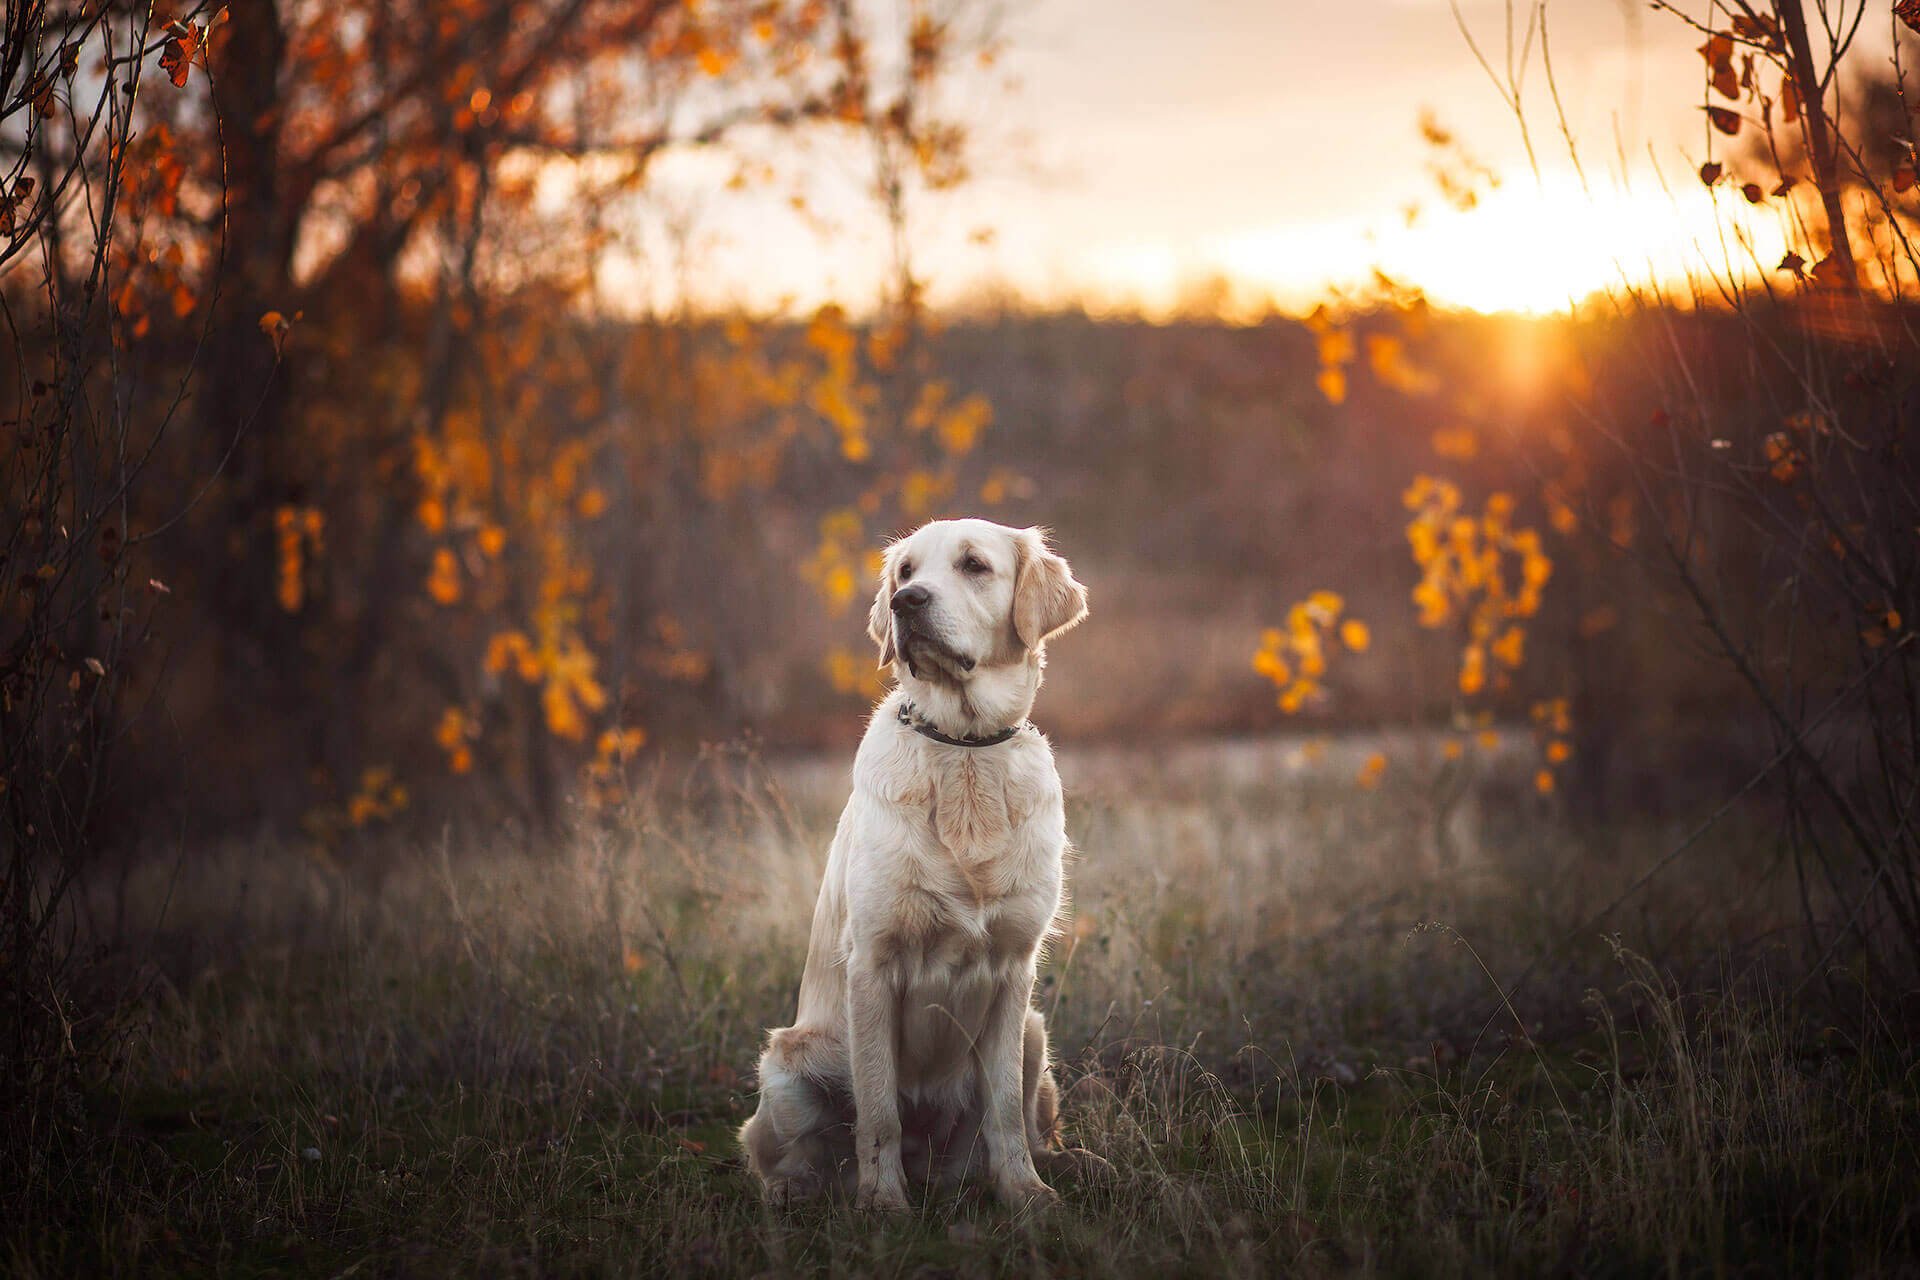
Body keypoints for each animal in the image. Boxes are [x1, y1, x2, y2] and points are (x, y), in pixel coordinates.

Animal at [737, 518, 1090, 1212]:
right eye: (904, 572)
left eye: (974, 565)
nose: (906, 603)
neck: (966, 753)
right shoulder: (873, 963)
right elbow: (878, 1110)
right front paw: (882, 1204)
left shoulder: (1014, 970)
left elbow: (1004, 1109)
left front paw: (1024, 1195)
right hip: (789, 1065)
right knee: (787, 1155)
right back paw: (795, 1192)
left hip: (1036, 1034)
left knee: (1024, 1124)